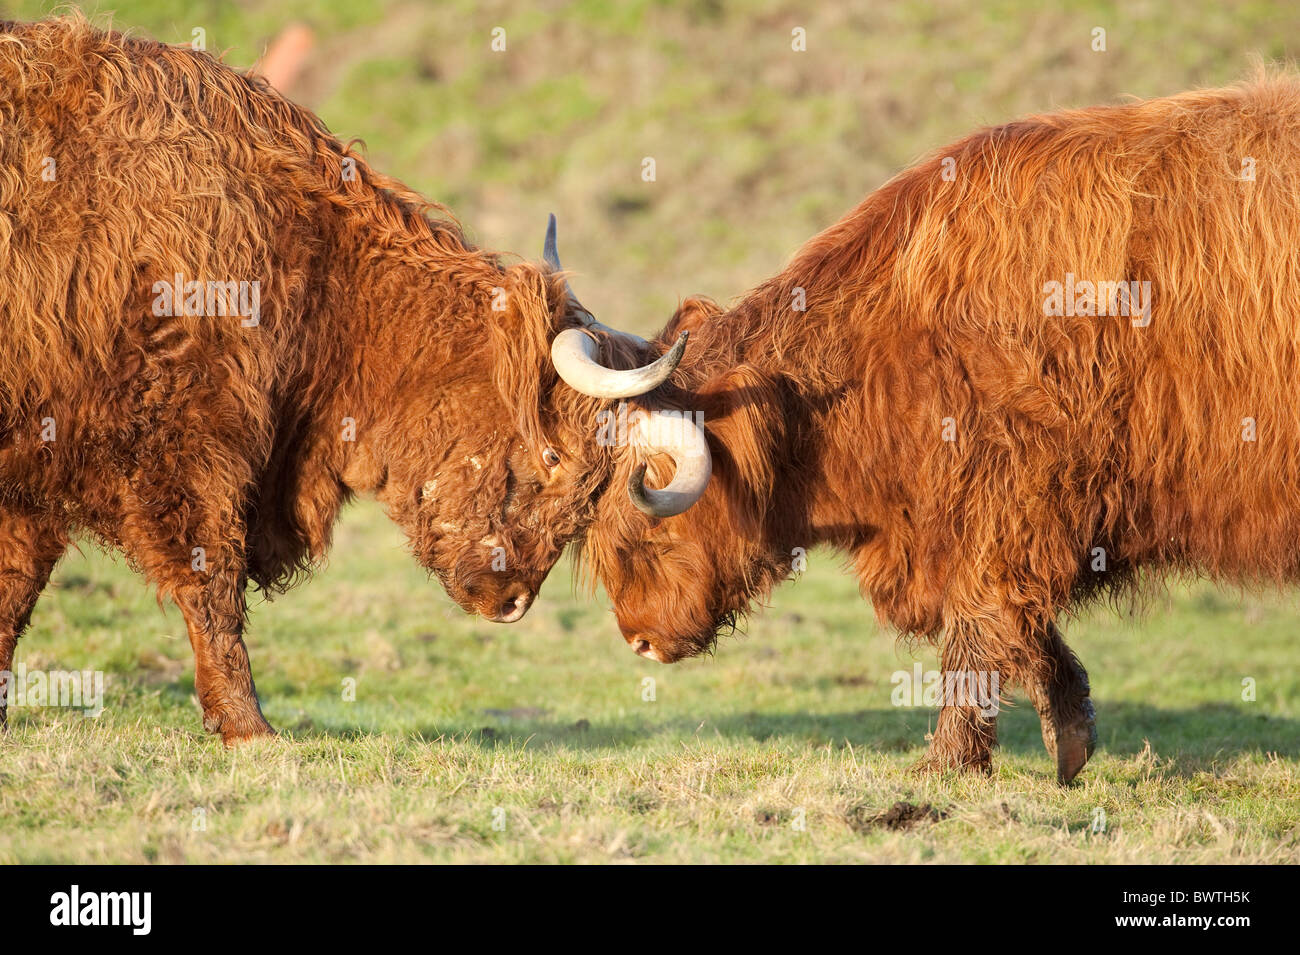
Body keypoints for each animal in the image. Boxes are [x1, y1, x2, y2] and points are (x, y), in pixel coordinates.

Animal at [0, 16, 686, 748]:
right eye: (554, 458)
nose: (513, 601)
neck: (312, 262)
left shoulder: (35, 478)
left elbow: (16, 587)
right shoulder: (193, 447)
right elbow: (211, 583)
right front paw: (249, 726)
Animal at [540, 78, 1300, 784]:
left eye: (644, 524)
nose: (637, 639)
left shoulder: (1005, 501)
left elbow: (978, 627)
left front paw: (949, 762)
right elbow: (1018, 628)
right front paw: (1069, 730)